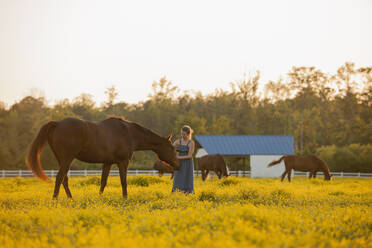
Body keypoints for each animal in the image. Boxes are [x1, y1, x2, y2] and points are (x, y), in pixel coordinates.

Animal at [24, 116, 179, 200]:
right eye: (172, 148)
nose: (178, 165)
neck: (129, 133)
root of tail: (57, 123)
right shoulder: (123, 162)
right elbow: (124, 182)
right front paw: (125, 198)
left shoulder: (107, 163)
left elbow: (103, 182)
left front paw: (100, 198)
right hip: (67, 159)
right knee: (59, 178)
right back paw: (55, 200)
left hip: (62, 160)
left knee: (64, 179)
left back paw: (70, 200)